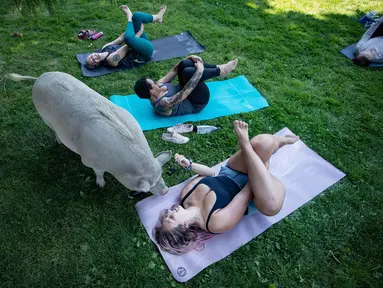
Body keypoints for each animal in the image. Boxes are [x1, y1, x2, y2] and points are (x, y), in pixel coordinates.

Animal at [6, 71, 172, 195]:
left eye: (161, 175)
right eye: (149, 187)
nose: (166, 191)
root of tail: (39, 78)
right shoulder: (89, 161)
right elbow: (99, 173)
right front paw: (101, 186)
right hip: (44, 116)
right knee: (52, 129)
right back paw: (58, 141)